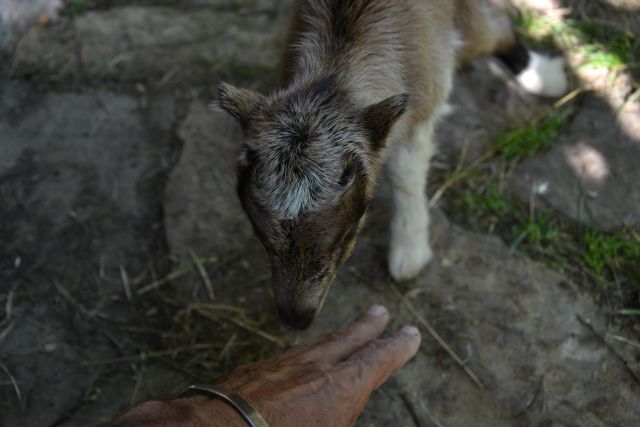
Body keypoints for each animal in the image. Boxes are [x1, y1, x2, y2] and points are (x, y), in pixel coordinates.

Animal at [218, 0, 568, 332]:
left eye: (348, 234)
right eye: (261, 236)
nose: (297, 319)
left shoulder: (426, 90)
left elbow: (406, 173)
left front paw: (410, 252)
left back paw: (546, 78)